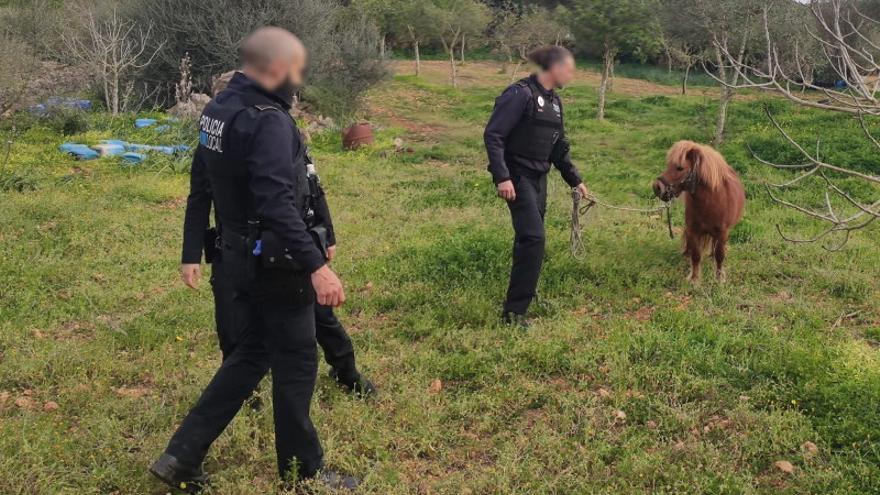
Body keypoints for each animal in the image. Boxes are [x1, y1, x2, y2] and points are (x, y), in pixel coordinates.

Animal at [652, 141, 744, 284]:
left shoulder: (722, 232)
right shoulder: (694, 230)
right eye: (668, 165)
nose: (657, 188)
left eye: (680, 168)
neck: (712, 202)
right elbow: (696, 255)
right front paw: (694, 279)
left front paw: (719, 277)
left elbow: (720, 255)